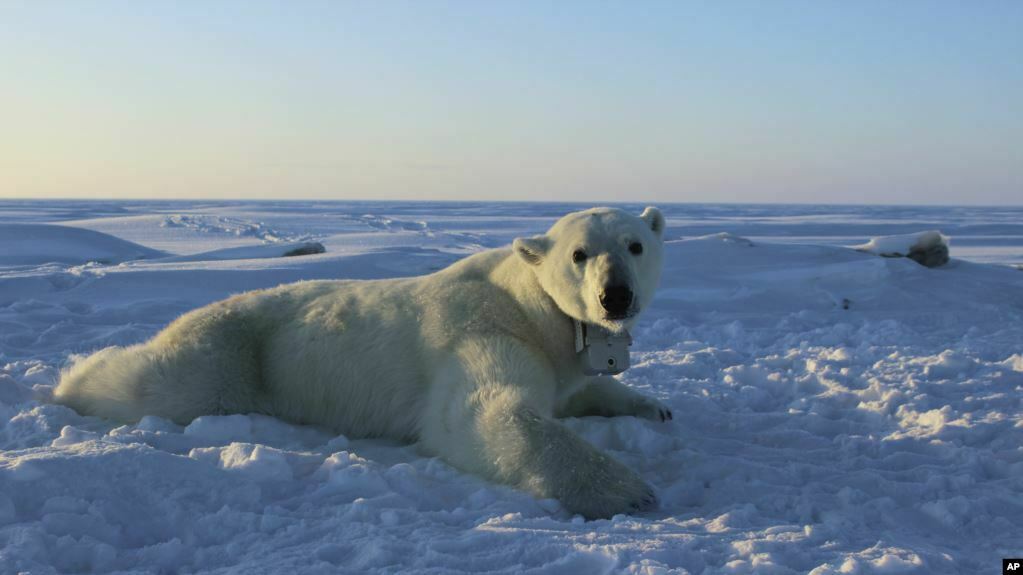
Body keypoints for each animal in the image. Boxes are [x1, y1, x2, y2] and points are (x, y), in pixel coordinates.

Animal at [59, 204, 675, 515]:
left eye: (635, 245)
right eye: (579, 253)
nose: (615, 296)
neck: (528, 305)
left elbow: (579, 389)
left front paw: (654, 407)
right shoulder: (482, 332)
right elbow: (481, 413)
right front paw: (629, 490)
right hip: (230, 355)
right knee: (157, 383)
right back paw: (70, 380)